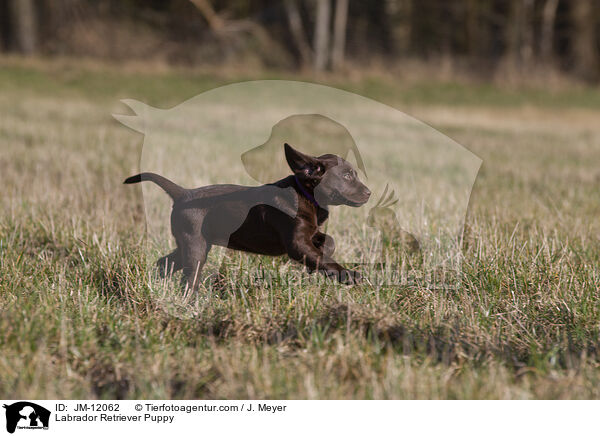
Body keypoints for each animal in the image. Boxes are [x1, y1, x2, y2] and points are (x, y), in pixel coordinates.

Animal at [125, 143, 370, 290]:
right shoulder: (296, 242)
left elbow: (328, 242)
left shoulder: (308, 233)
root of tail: (184, 193)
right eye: (347, 176)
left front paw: (320, 260)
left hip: (193, 242)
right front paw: (347, 275)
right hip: (195, 246)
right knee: (189, 278)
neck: (306, 194)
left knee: (165, 262)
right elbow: (321, 256)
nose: (369, 193)